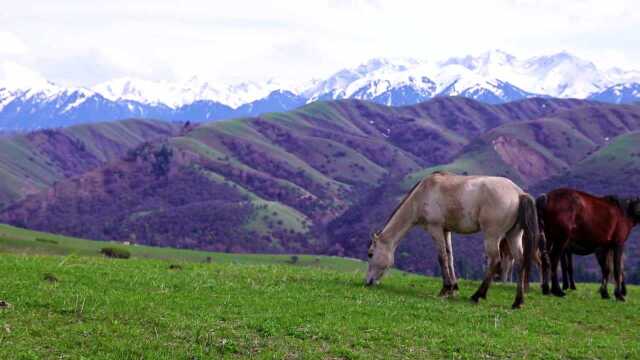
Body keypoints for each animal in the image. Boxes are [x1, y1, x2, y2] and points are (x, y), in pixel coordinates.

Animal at [364, 172, 540, 310]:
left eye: (370, 254)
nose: (367, 282)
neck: (422, 193)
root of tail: (518, 193)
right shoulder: (446, 230)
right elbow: (450, 257)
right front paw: (453, 288)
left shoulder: (435, 228)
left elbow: (441, 257)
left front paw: (445, 289)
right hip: (513, 235)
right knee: (520, 262)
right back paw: (517, 302)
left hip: (492, 235)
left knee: (495, 260)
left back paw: (478, 295)